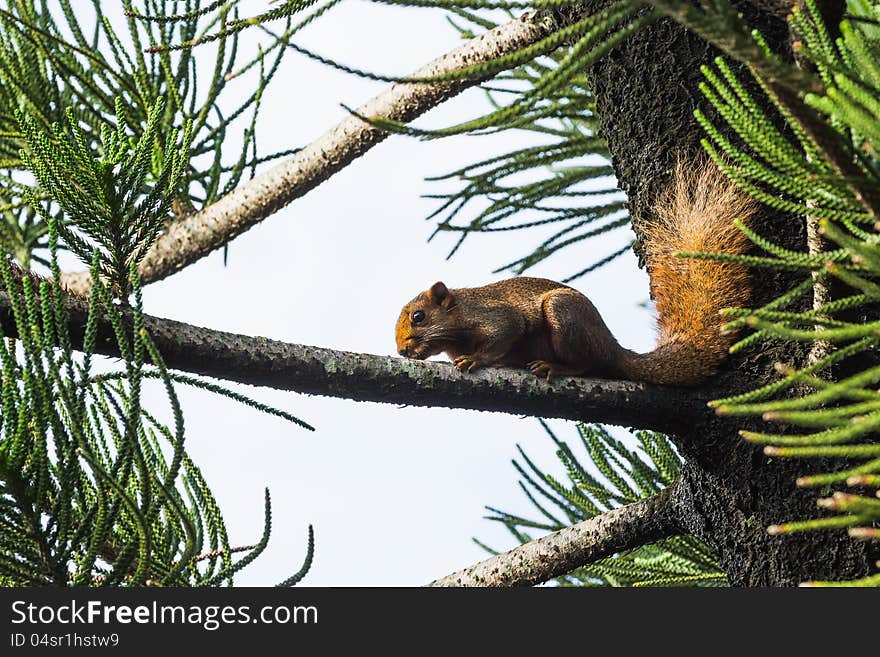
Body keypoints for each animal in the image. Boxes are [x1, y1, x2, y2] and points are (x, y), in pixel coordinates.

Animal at [396, 160, 760, 384]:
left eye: (419, 316)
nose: (401, 351)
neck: (459, 316)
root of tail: (615, 349)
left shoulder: (494, 316)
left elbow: (504, 333)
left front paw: (476, 360)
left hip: (564, 315)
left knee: (586, 364)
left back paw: (555, 366)